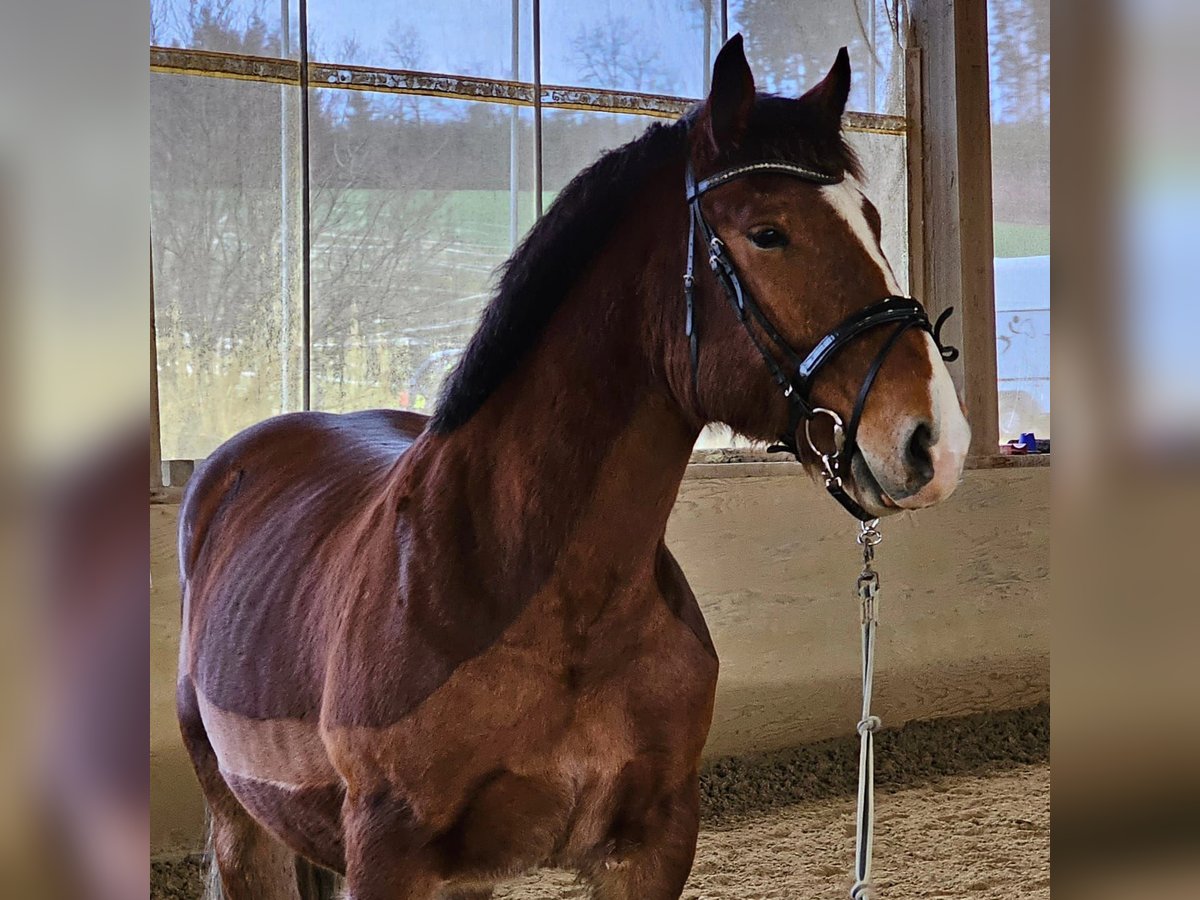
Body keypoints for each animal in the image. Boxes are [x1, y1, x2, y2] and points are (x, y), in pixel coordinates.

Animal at [175, 37, 964, 900]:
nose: (935, 441)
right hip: (243, 830)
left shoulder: (649, 846)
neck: (548, 600)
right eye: (767, 232)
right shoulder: (387, 859)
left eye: (874, 222)